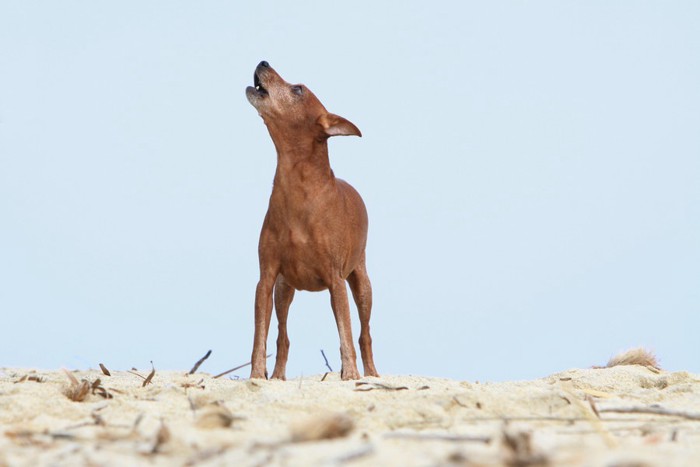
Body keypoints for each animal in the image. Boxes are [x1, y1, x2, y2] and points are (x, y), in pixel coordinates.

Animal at [245, 61, 378, 380]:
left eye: (298, 89)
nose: (263, 62)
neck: (298, 190)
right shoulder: (266, 279)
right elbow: (260, 335)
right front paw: (256, 375)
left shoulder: (336, 280)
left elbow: (345, 332)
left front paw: (350, 375)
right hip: (284, 289)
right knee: (282, 336)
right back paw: (277, 376)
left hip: (362, 283)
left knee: (364, 332)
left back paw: (371, 374)